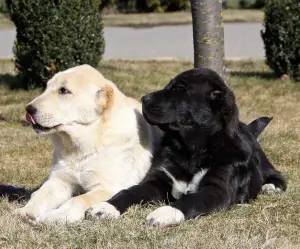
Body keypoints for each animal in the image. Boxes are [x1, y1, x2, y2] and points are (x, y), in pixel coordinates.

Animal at [15, 63, 162, 222]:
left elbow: (79, 199)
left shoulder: (109, 187)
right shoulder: (60, 180)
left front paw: (59, 214)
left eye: (63, 90)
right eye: (46, 87)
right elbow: (40, 195)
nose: (28, 109)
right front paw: (27, 210)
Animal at [86, 68, 286, 228]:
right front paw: (105, 207)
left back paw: (271, 187)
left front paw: (165, 212)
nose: (144, 99)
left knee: (278, 177)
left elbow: (191, 199)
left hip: (265, 167)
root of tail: (249, 129)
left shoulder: (217, 190)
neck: (191, 149)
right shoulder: (157, 180)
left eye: (180, 89)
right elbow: (130, 191)